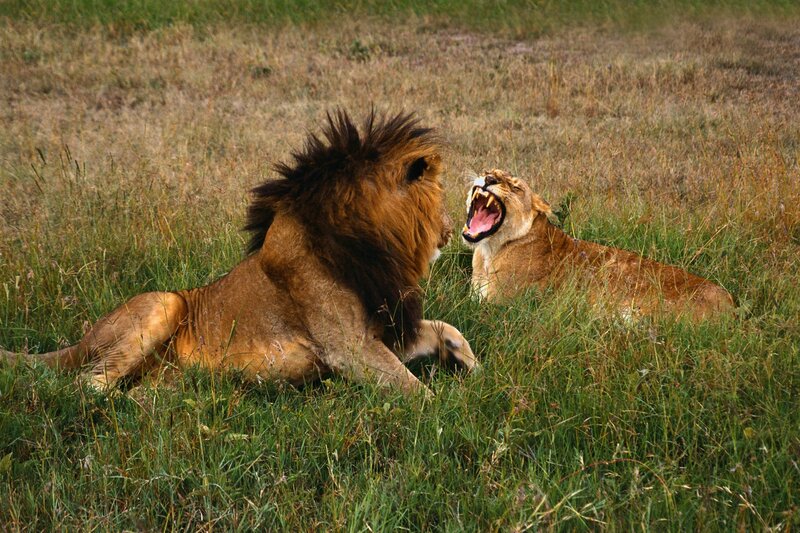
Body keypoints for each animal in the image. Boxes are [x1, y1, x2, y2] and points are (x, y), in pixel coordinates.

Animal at [0, 111, 478, 394]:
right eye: (441, 197)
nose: (451, 232)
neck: (373, 248)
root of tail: (81, 340)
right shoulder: (349, 347)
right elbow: (415, 392)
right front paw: (451, 413)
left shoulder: (387, 325)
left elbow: (445, 327)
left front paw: (469, 363)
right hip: (162, 305)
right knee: (86, 386)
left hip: (165, 373)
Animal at [461, 169, 734, 320]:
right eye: (489, 169)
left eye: (516, 187)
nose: (488, 178)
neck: (489, 252)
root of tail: (731, 303)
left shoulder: (498, 305)